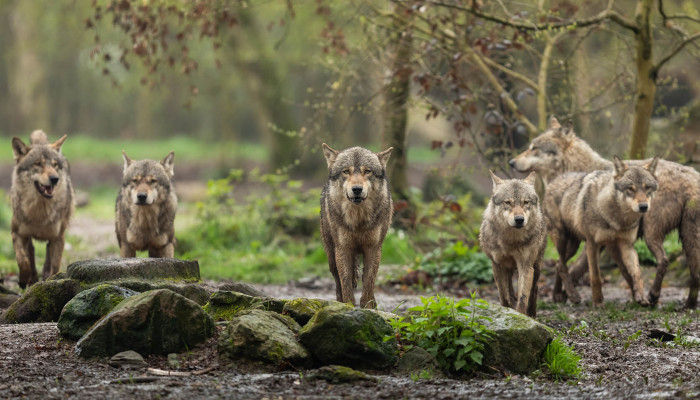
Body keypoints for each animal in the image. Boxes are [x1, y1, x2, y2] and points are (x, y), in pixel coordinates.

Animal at [10, 130, 74, 288]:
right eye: (38, 163)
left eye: (55, 165)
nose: (55, 179)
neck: (40, 212)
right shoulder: (16, 233)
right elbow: (22, 260)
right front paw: (23, 279)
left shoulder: (58, 237)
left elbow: (55, 266)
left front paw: (51, 281)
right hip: (27, 236)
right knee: (31, 252)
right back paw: (31, 278)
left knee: (47, 256)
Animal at [318, 144, 392, 310]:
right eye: (346, 171)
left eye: (367, 171)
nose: (357, 189)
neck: (358, 221)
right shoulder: (343, 249)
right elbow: (345, 282)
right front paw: (348, 306)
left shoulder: (373, 249)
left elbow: (369, 283)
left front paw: (368, 307)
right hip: (331, 256)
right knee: (338, 280)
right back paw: (338, 301)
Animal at [482, 170, 548, 318]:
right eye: (508, 202)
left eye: (525, 202)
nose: (519, 219)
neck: (510, 241)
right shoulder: (497, 265)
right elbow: (503, 295)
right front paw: (507, 310)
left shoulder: (525, 266)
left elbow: (523, 297)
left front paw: (521, 316)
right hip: (509, 268)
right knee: (510, 289)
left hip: (536, 267)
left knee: (534, 289)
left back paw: (532, 314)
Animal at [540, 155, 656, 306]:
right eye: (630, 189)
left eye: (647, 187)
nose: (643, 206)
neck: (617, 218)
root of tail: (554, 180)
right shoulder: (592, 244)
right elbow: (595, 276)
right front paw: (598, 302)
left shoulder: (626, 245)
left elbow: (636, 272)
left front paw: (641, 297)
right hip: (562, 240)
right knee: (562, 266)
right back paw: (573, 295)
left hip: (573, 246)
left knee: (559, 264)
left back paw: (557, 295)